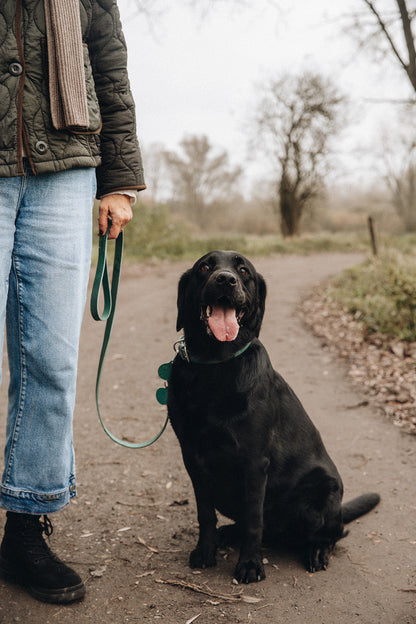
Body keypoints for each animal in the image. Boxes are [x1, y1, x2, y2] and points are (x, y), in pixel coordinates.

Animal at [167, 250, 380, 584]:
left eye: (243, 271)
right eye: (205, 266)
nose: (225, 280)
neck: (215, 365)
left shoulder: (254, 461)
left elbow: (255, 518)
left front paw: (250, 565)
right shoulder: (191, 455)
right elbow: (205, 513)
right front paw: (205, 551)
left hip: (322, 494)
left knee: (333, 534)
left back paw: (317, 551)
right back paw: (227, 534)